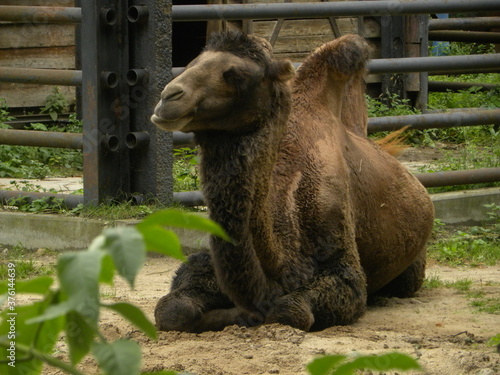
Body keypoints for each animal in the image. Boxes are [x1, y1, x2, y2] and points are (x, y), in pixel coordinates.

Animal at [149, 30, 434, 334]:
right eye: (192, 62)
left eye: (237, 75)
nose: (168, 98)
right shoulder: (204, 262)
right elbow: (171, 309)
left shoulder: (343, 270)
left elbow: (289, 310)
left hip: (412, 267)